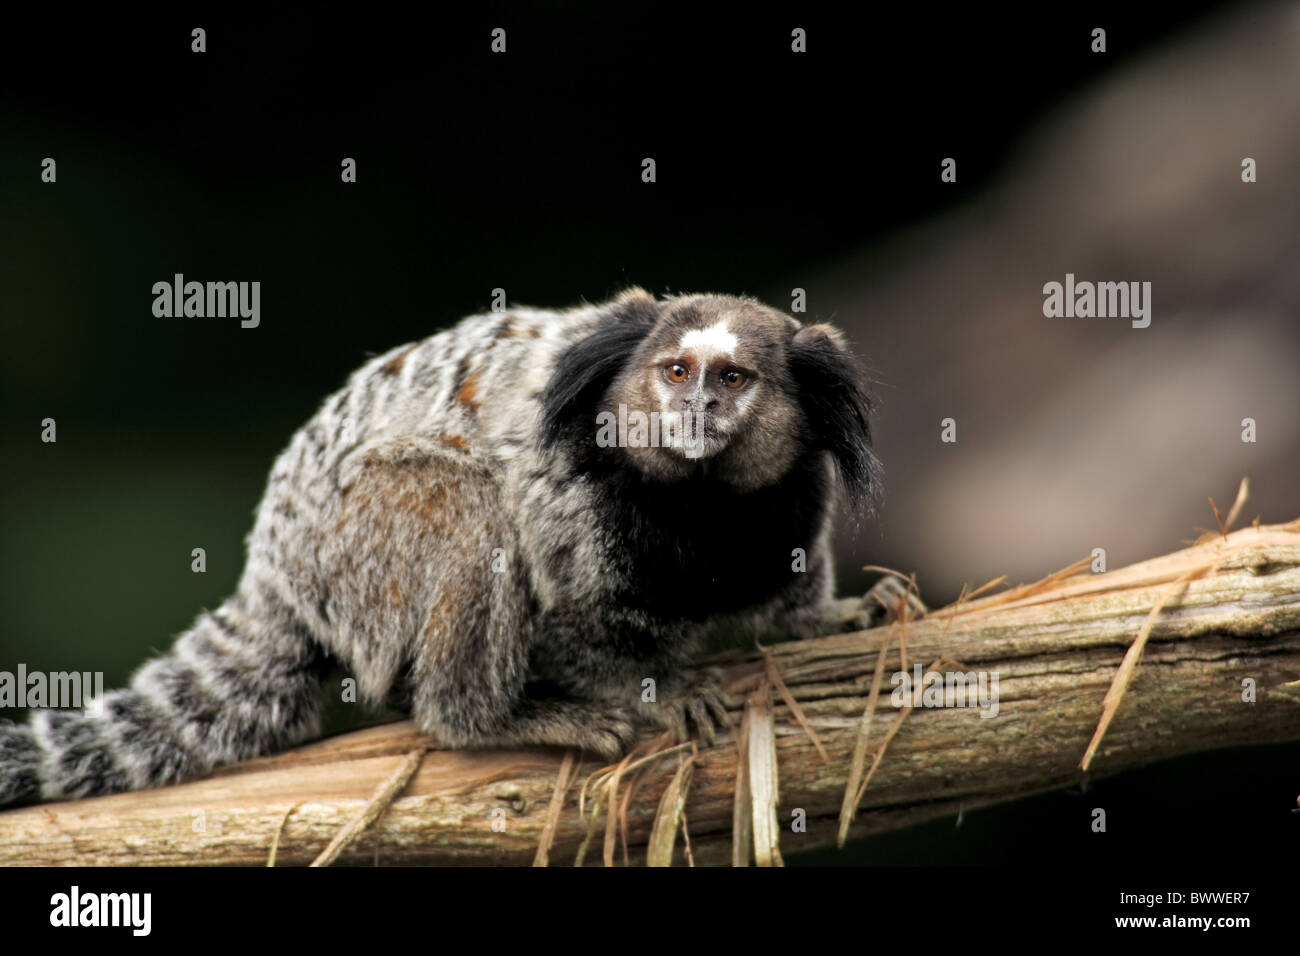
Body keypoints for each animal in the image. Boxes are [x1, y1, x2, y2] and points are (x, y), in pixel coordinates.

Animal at [0, 287, 880, 808]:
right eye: (674, 372)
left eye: (731, 379)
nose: (694, 408)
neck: (699, 501)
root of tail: (273, 562)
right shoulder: (568, 488)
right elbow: (566, 617)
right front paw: (656, 686)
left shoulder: (792, 494)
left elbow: (797, 588)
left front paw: (831, 617)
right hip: (359, 538)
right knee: (469, 512)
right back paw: (489, 720)